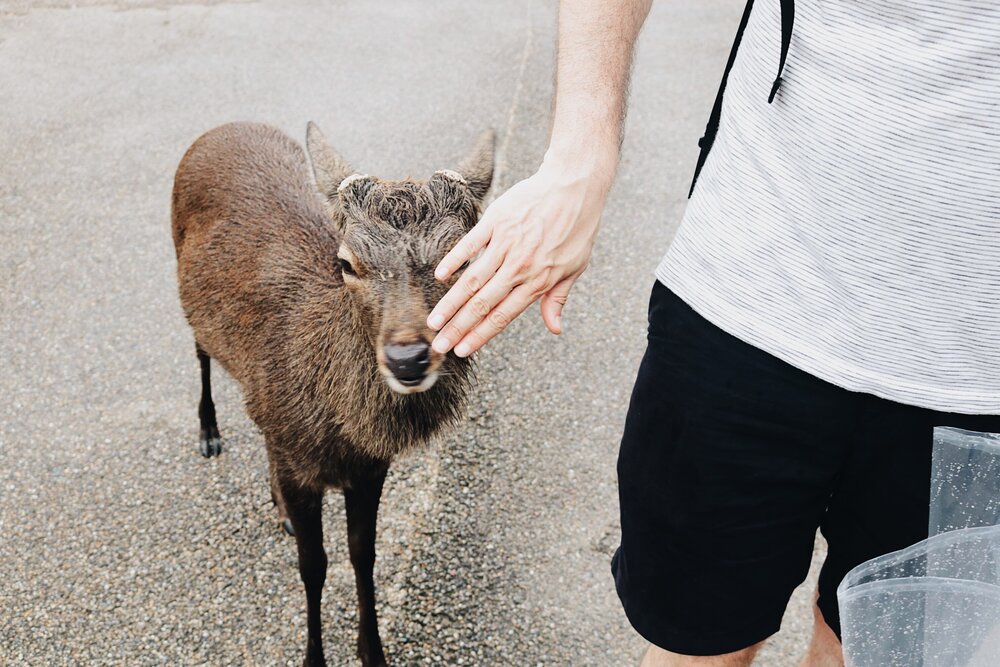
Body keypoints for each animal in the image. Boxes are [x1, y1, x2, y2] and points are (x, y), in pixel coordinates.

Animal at [170, 121, 494, 667]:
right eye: (347, 262)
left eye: (465, 257)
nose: (408, 358)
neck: (339, 430)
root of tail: (219, 129)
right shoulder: (301, 466)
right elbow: (314, 565)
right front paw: (314, 657)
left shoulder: (370, 469)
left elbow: (363, 554)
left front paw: (372, 651)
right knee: (200, 354)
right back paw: (209, 432)